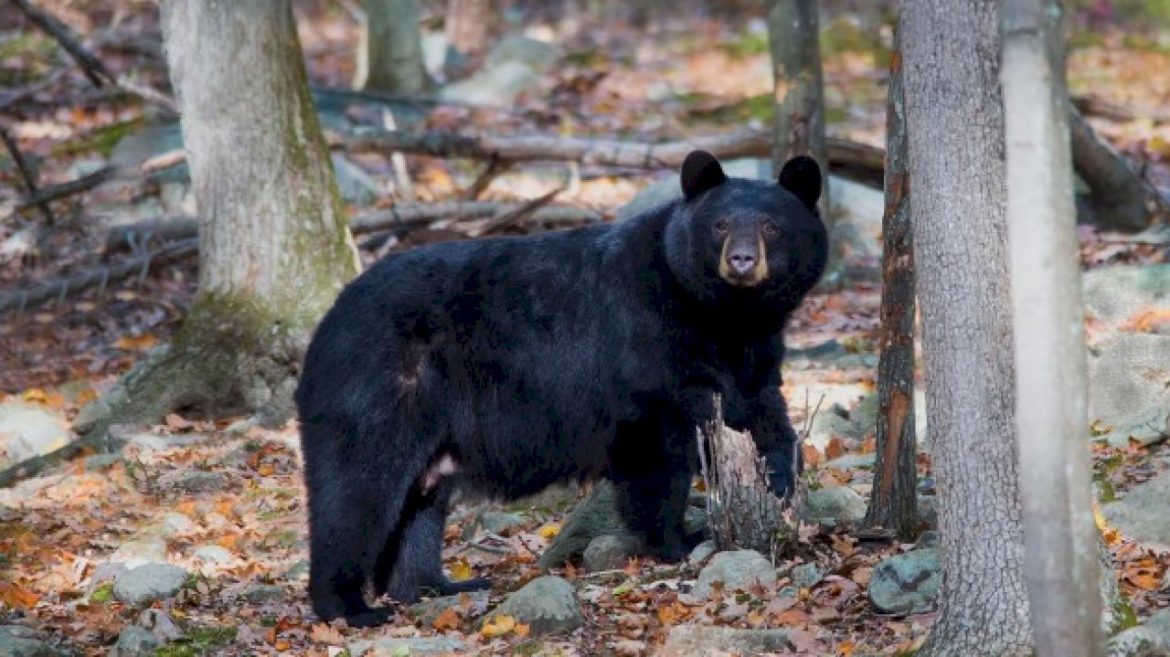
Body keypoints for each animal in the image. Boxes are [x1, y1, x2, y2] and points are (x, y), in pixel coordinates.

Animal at [301, 149, 833, 621]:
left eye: (771, 226)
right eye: (720, 225)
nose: (741, 260)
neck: (724, 318)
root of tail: (328, 318)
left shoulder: (756, 356)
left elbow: (766, 416)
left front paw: (781, 484)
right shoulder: (646, 345)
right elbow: (656, 454)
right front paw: (680, 538)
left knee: (420, 501)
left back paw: (435, 585)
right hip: (383, 386)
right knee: (358, 488)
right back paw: (348, 606)